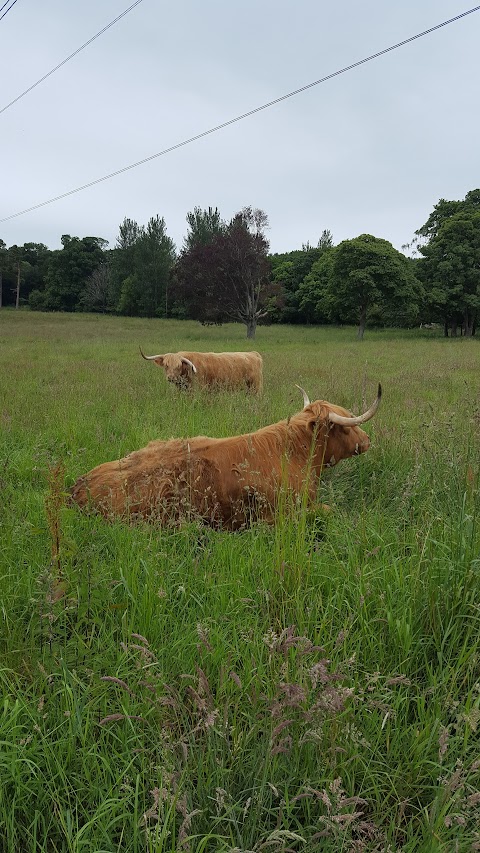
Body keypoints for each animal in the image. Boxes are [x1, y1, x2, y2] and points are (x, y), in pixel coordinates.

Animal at [69, 384, 380, 528]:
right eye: (347, 425)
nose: (367, 441)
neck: (295, 453)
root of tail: (79, 486)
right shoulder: (281, 514)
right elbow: (330, 510)